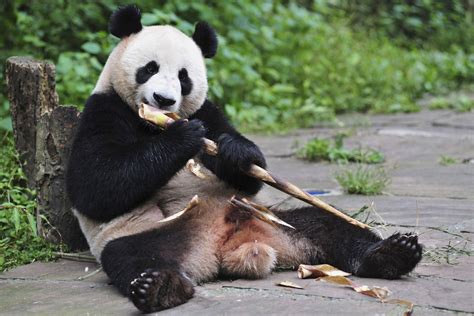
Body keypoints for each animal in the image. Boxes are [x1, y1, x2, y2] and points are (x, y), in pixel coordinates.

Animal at [65, 4, 422, 314]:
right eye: (149, 68)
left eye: (183, 77)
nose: (163, 100)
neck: (152, 123)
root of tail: (225, 248)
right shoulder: (104, 109)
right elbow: (95, 186)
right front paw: (184, 136)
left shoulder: (208, 109)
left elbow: (246, 164)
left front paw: (234, 152)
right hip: (149, 233)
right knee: (135, 257)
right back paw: (159, 288)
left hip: (270, 217)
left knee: (329, 225)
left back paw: (392, 253)